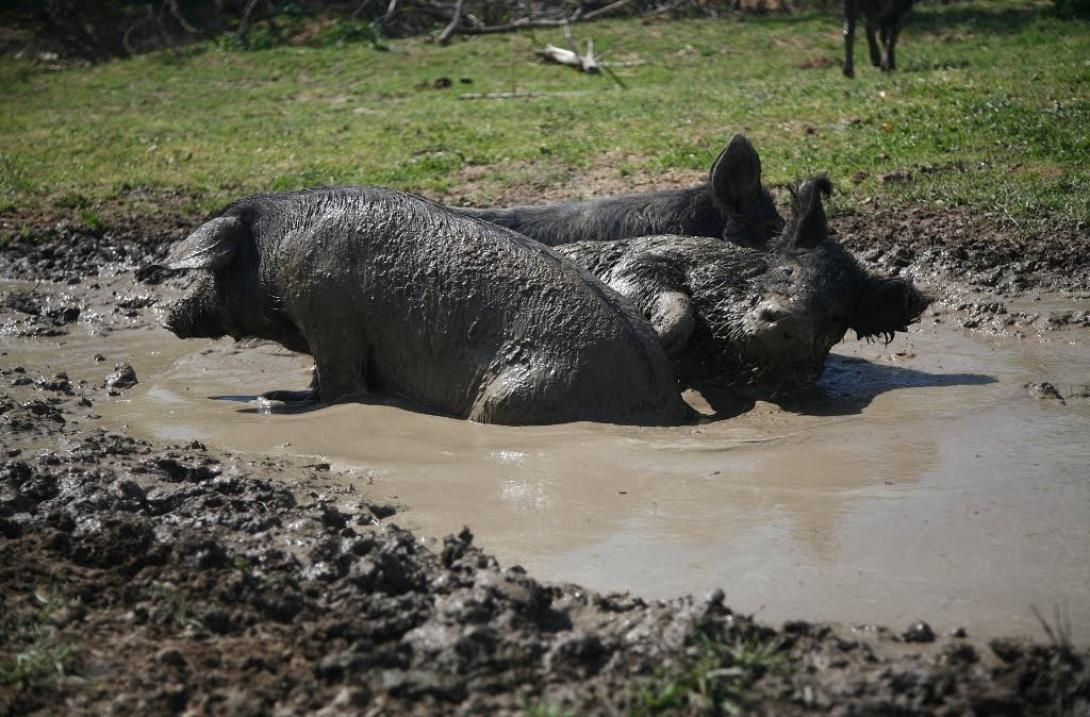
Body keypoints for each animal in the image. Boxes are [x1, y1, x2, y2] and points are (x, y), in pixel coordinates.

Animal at [158, 187, 684, 427]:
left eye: (211, 269)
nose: (167, 316)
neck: (273, 252)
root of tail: (663, 399)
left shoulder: (326, 313)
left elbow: (337, 384)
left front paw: (275, 400)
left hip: (517, 394)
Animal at [558, 174, 933, 396]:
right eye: (788, 271)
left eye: (836, 315)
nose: (790, 320)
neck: (718, 345)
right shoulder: (645, 258)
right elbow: (662, 295)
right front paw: (660, 340)